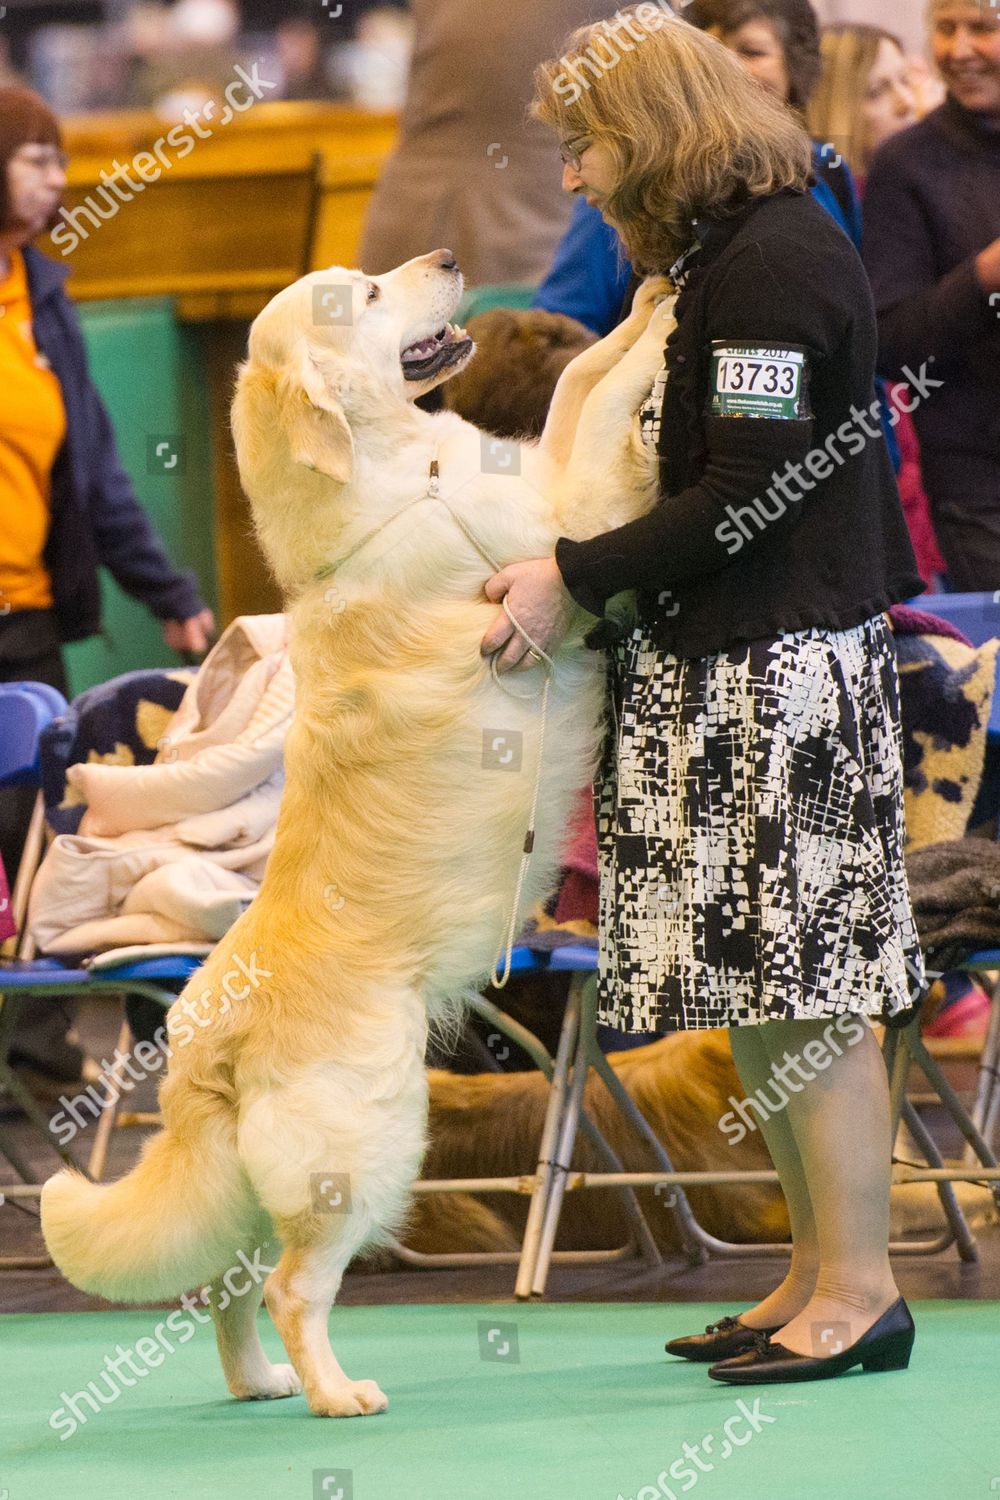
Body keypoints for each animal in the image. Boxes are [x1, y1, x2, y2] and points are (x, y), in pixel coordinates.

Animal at [41, 255, 680, 1416]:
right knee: (291, 1288)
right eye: (367, 296)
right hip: (366, 1151)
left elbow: (575, 390)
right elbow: (606, 410)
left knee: (228, 1290)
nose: (447, 264)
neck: (395, 480)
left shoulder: (537, 477)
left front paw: (640, 301)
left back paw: (261, 1385)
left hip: (263, 1185)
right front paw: (658, 323)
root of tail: (199, 1040)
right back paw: (338, 1393)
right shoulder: (566, 523)